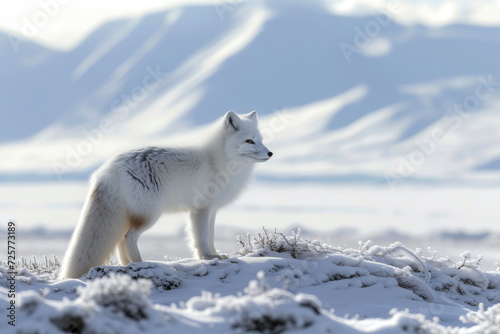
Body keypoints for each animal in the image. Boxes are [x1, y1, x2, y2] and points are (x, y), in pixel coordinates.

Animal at [60, 111, 272, 280]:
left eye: (260, 139)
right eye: (249, 141)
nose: (270, 153)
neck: (217, 161)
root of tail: (109, 168)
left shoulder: (212, 211)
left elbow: (210, 237)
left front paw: (216, 255)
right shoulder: (200, 209)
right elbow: (201, 238)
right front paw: (207, 258)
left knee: (121, 239)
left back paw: (127, 264)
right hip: (150, 215)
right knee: (128, 237)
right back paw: (139, 262)